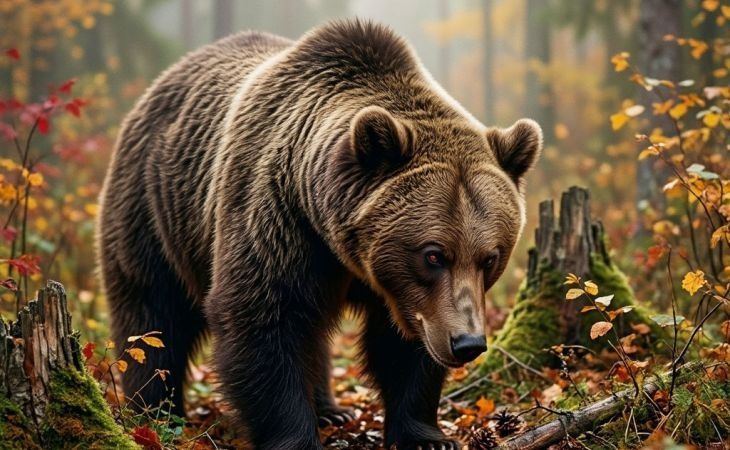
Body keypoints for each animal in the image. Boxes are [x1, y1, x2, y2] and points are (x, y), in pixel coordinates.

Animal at [97, 20, 541, 450]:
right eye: (433, 254)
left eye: (489, 257)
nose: (467, 343)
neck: (339, 242)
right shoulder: (277, 220)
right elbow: (261, 319)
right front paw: (296, 437)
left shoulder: (402, 293)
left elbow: (404, 345)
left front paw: (426, 437)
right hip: (153, 207)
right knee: (152, 312)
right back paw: (155, 414)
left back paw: (331, 411)